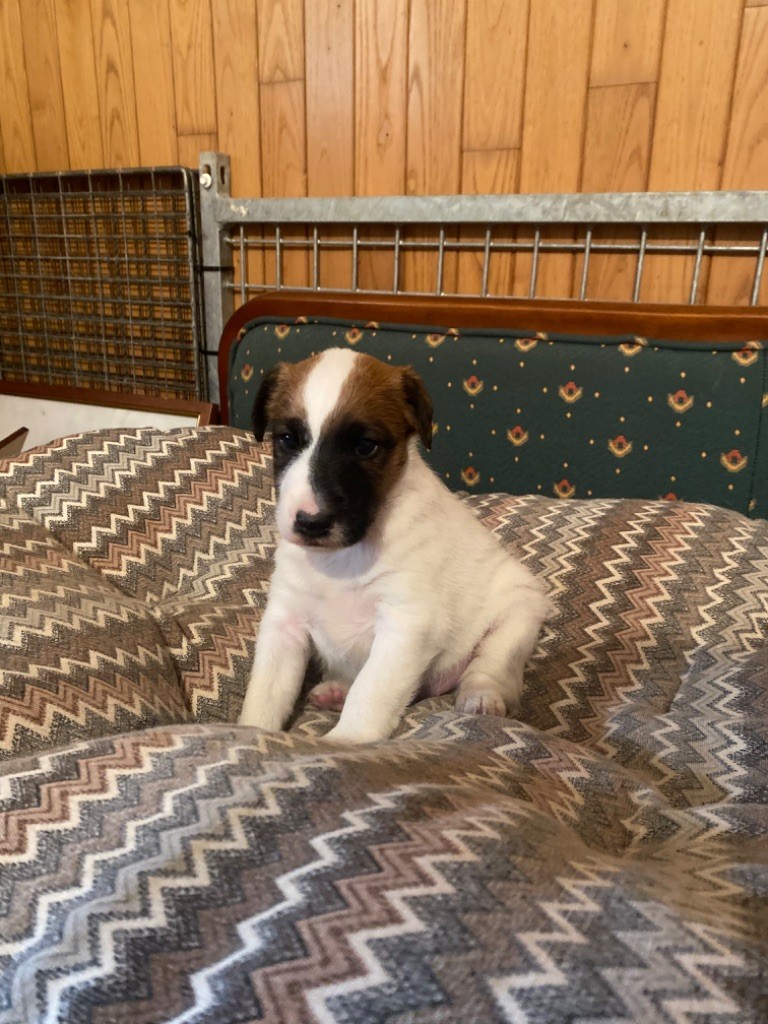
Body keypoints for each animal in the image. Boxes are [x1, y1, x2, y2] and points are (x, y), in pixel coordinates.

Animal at [238, 347, 550, 744]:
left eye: (365, 446)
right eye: (287, 439)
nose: (311, 522)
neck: (341, 559)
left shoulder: (406, 624)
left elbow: (371, 690)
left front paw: (346, 742)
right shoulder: (284, 623)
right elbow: (264, 695)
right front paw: (250, 734)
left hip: (516, 616)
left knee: (491, 669)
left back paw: (481, 697)